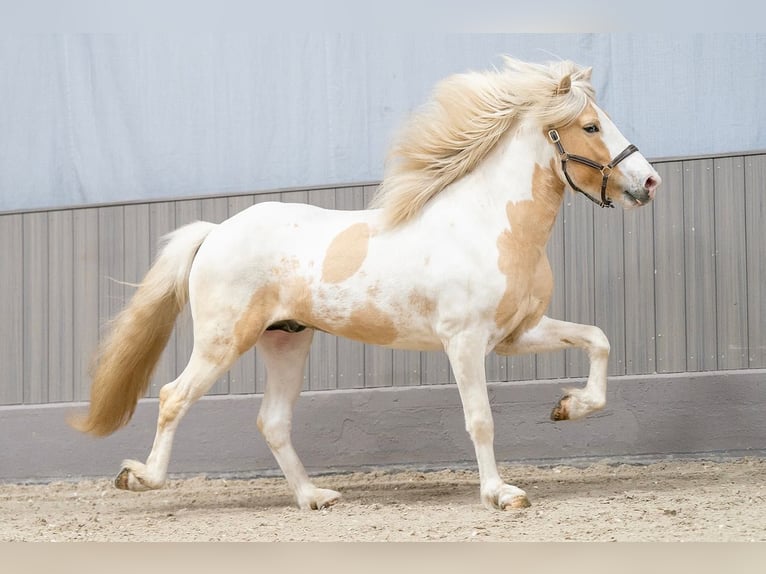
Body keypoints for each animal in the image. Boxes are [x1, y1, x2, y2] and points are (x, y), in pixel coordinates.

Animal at [69, 56, 664, 510]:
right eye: (591, 127)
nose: (650, 182)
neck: (489, 223)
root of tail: (216, 232)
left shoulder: (516, 335)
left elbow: (597, 340)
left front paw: (568, 407)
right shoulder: (465, 341)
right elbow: (480, 420)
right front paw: (502, 494)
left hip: (286, 339)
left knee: (273, 421)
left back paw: (314, 498)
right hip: (224, 340)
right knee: (174, 397)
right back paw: (138, 478)